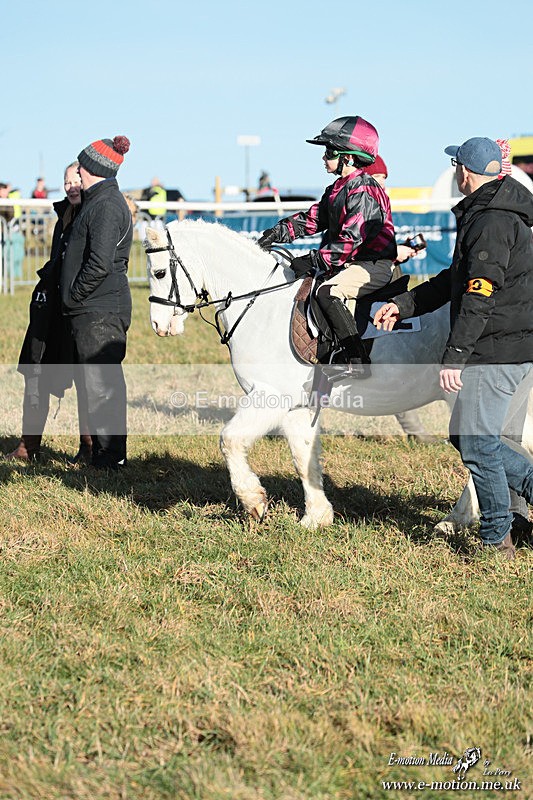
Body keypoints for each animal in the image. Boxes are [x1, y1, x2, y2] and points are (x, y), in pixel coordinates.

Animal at [144, 219, 532, 531]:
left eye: (160, 273)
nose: (159, 326)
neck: (261, 304)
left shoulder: (269, 397)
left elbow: (230, 440)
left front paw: (253, 501)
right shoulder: (297, 406)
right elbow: (303, 458)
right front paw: (316, 516)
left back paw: (457, 520)